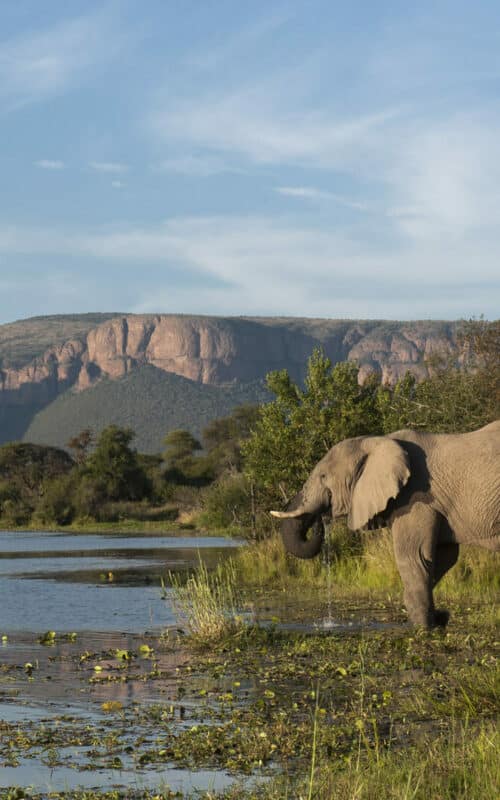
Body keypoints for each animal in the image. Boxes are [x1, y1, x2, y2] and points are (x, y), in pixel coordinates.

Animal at [271, 421, 500, 628]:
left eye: (323, 476)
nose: (321, 520)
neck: (379, 441)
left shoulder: (416, 499)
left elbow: (414, 557)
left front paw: (423, 628)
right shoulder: (437, 507)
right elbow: (442, 559)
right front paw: (440, 619)